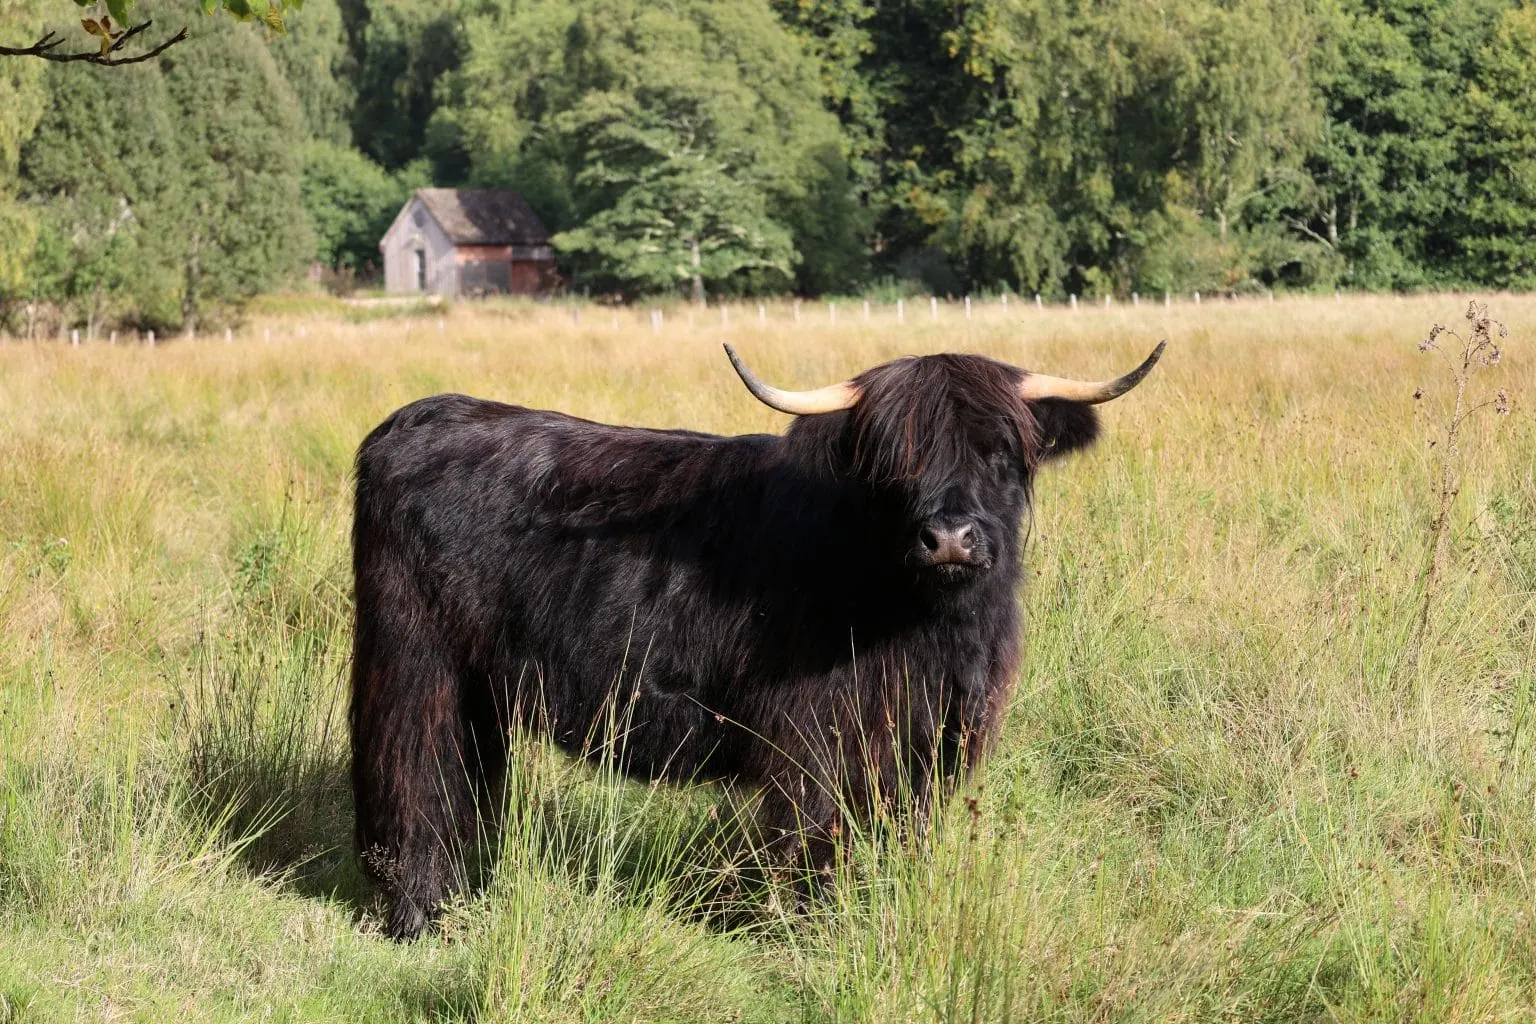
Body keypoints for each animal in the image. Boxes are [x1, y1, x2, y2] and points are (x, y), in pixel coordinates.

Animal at [350, 340, 1164, 938]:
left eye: (1001, 454)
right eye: (895, 464)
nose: (949, 538)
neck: (930, 625)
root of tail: (420, 416)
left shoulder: (922, 739)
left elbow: (894, 832)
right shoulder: (815, 735)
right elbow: (814, 834)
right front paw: (812, 931)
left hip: (481, 686)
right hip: (418, 662)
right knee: (414, 772)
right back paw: (421, 918)